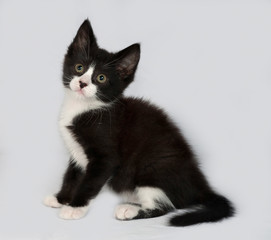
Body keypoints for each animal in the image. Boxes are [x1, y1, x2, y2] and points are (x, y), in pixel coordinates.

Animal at [43, 19, 235, 226]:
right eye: (79, 67)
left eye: (101, 78)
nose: (82, 83)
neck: (86, 108)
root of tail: (199, 184)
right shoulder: (76, 154)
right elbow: (71, 176)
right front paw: (60, 198)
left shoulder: (105, 156)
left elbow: (89, 182)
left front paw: (75, 208)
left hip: (153, 168)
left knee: (167, 206)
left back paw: (129, 210)